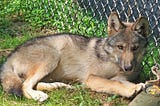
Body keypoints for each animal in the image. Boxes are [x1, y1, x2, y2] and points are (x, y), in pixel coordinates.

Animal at [0, 11, 150, 102]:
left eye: (135, 48)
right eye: (120, 47)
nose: (128, 68)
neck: (112, 59)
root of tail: (10, 55)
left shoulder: (122, 77)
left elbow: (122, 82)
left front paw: (136, 86)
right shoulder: (91, 78)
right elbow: (113, 83)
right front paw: (132, 90)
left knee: (36, 84)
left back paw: (59, 86)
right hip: (52, 56)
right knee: (25, 86)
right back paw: (39, 96)